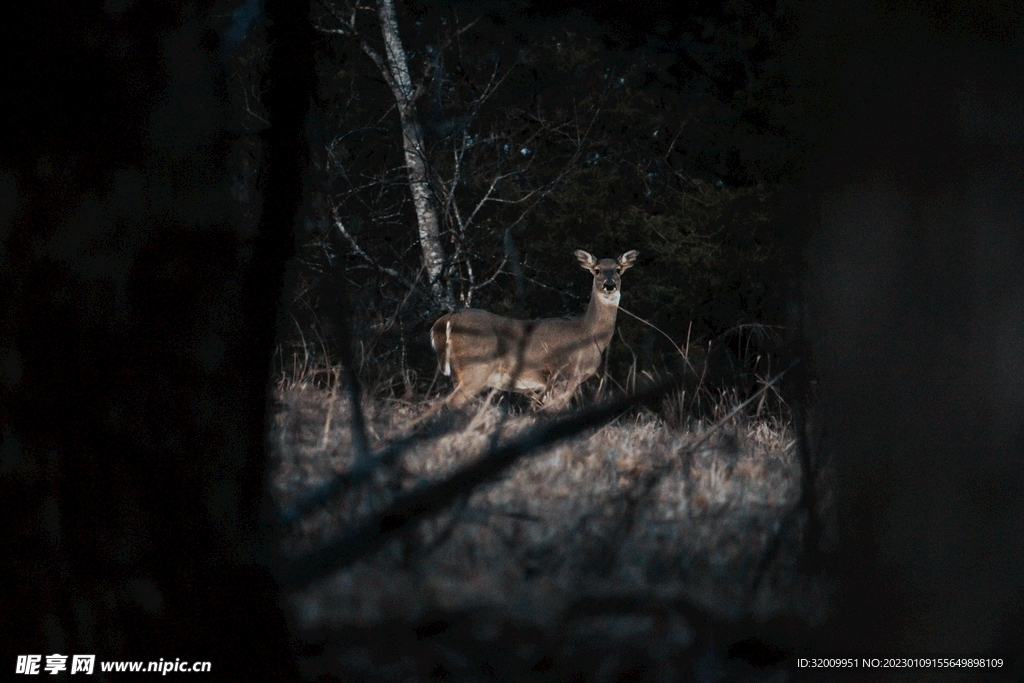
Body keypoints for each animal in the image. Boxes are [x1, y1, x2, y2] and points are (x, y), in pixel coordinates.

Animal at [430, 249, 639, 409]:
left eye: (618, 270)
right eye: (597, 270)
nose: (609, 285)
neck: (590, 333)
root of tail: (444, 321)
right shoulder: (563, 375)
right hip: (476, 368)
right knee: (449, 404)